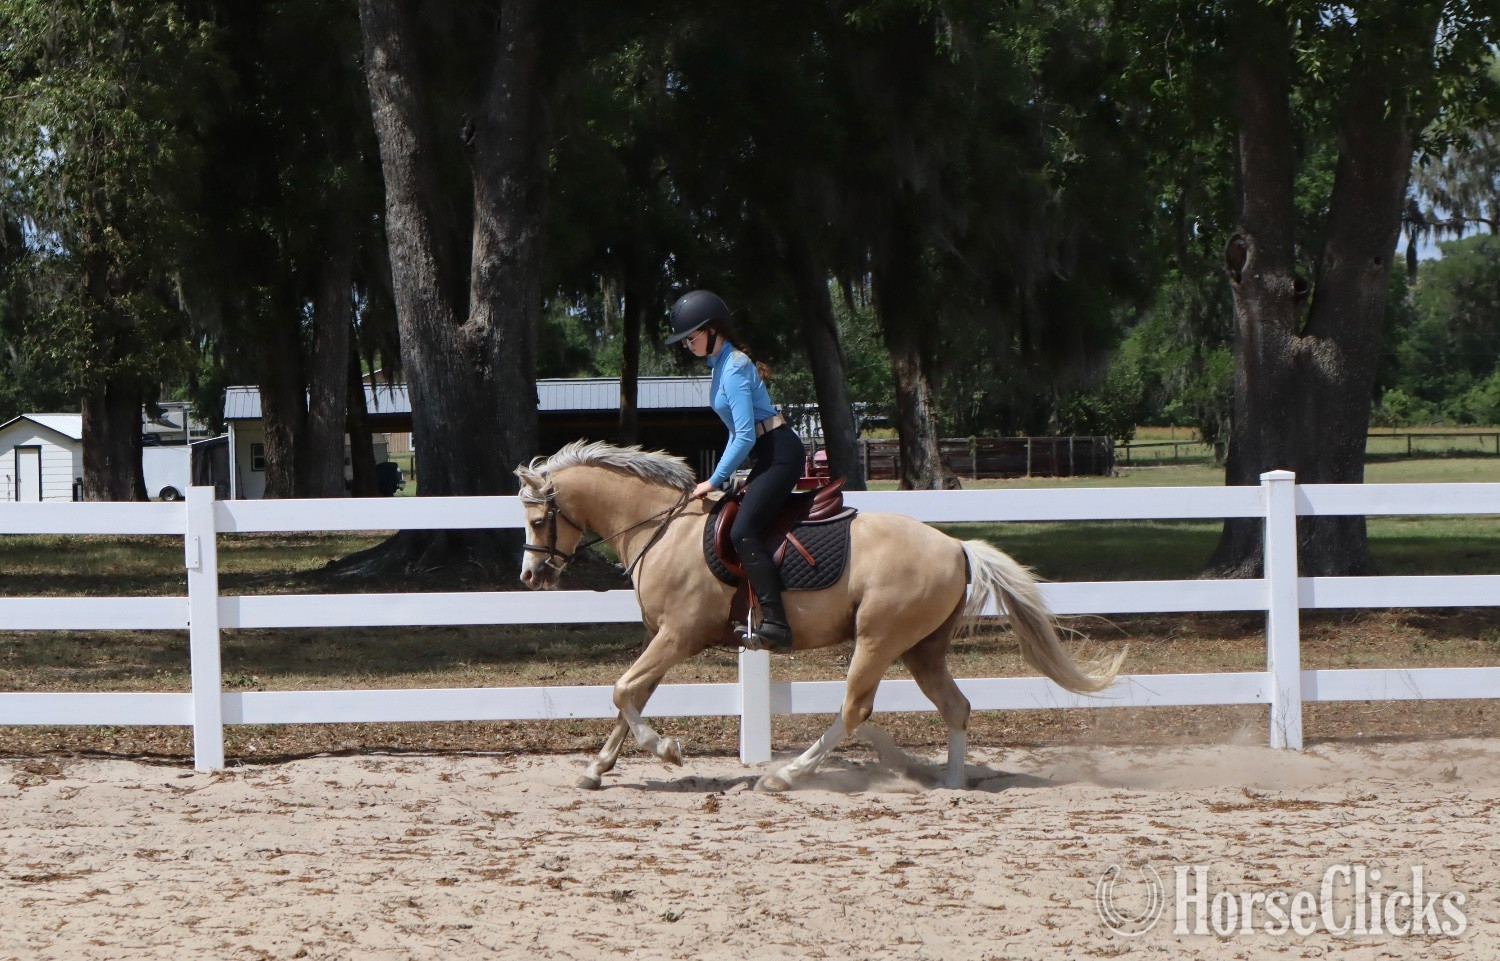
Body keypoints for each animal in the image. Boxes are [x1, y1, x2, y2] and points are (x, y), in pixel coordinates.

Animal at [515, 440, 1122, 792]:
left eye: (538, 518)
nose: (530, 576)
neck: (665, 527)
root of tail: (956, 547)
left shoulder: (680, 635)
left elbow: (622, 691)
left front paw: (667, 750)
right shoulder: (663, 637)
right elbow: (631, 696)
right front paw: (597, 769)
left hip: (877, 641)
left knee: (854, 710)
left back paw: (787, 775)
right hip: (921, 649)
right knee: (955, 706)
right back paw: (950, 781)